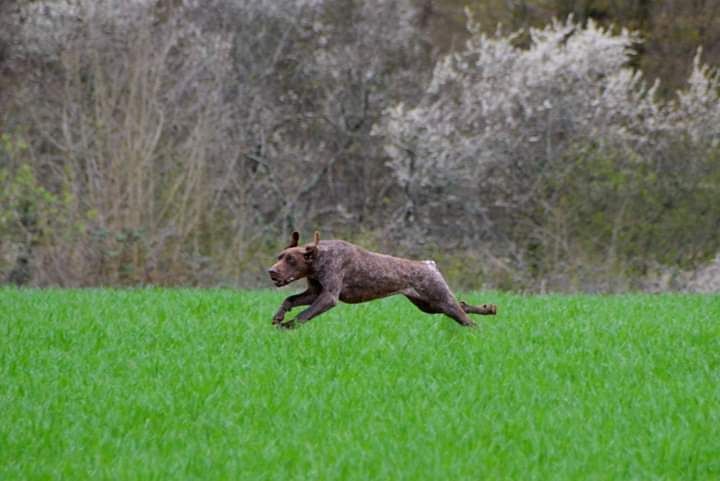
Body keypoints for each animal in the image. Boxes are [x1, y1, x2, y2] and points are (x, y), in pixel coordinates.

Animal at [268, 231, 498, 328]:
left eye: (291, 259)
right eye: (279, 257)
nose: (271, 271)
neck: (317, 259)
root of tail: (429, 264)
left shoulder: (328, 297)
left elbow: (303, 315)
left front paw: (287, 325)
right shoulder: (315, 292)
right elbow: (289, 300)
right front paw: (279, 317)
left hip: (440, 299)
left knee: (468, 320)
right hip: (429, 305)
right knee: (463, 305)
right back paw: (488, 308)